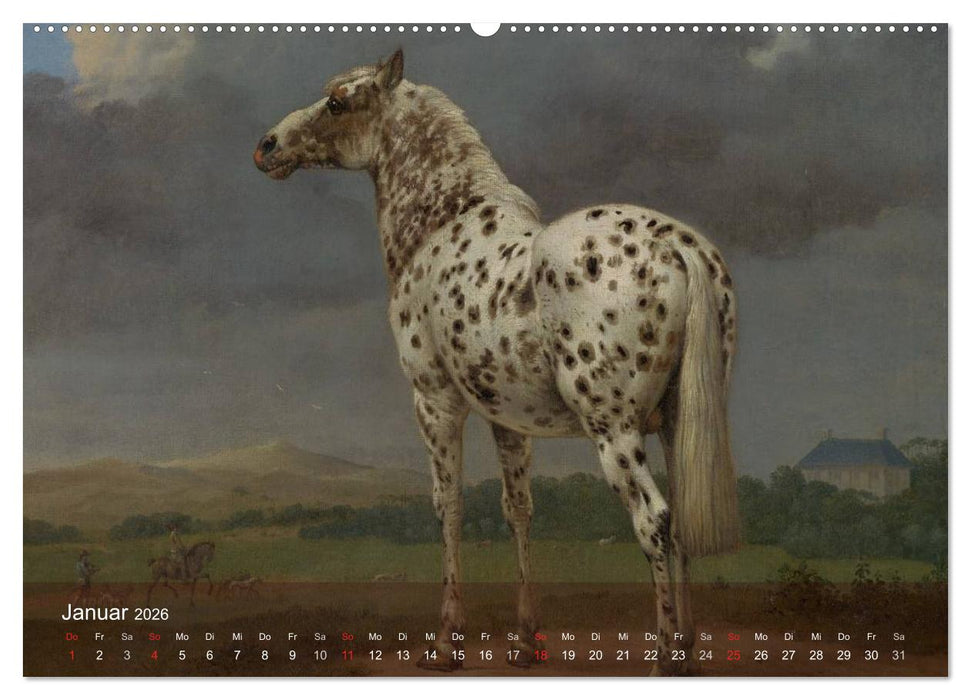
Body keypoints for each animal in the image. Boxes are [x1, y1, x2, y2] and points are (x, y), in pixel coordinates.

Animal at [254, 49, 739, 675]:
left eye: (337, 102)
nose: (267, 145)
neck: (440, 223)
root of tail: (677, 247)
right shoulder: (509, 421)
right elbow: (518, 509)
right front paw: (525, 641)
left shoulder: (435, 404)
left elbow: (450, 507)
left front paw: (446, 643)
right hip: (677, 424)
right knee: (680, 522)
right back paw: (686, 654)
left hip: (615, 430)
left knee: (654, 519)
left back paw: (661, 660)